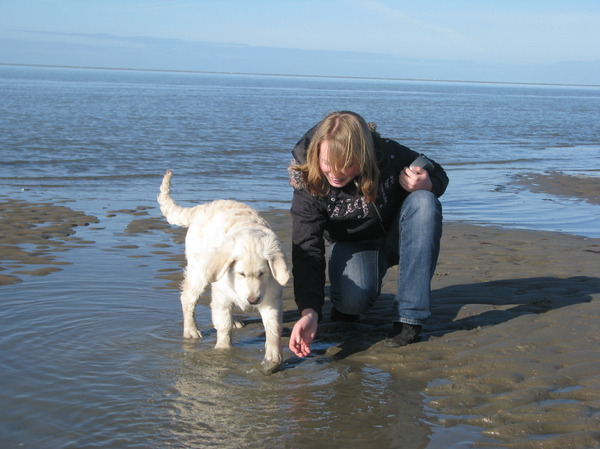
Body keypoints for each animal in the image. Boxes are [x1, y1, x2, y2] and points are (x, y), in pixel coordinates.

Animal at [156, 169, 290, 372]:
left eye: (262, 273)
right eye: (241, 274)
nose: (253, 300)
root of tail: (202, 207)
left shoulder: (271, 297)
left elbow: (273, 327)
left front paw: (273, 358)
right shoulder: (222, 292)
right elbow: (223, 325)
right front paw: (222, 351)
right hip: (199, 270)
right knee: (188, 299)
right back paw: (191, 330)